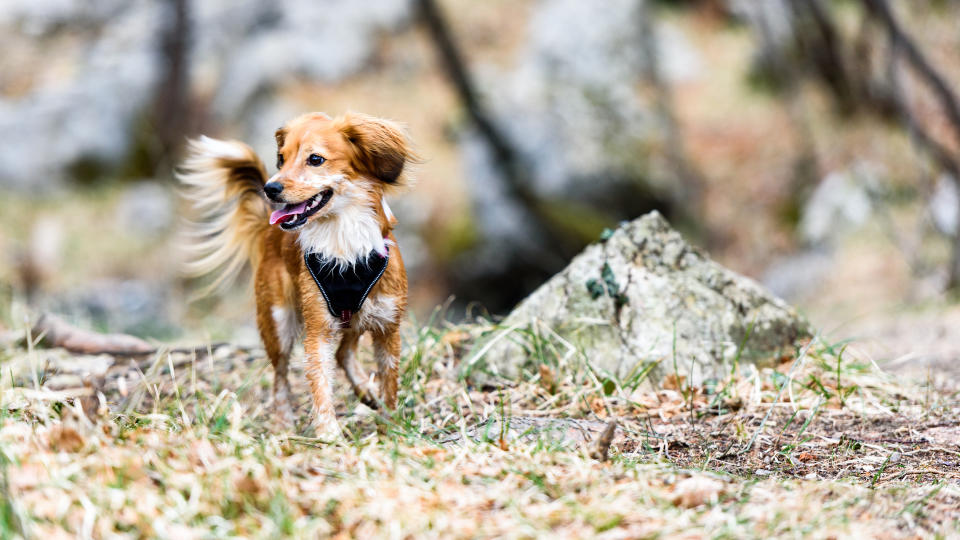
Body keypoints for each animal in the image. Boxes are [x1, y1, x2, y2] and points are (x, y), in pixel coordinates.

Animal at [179, 112, 416, 436]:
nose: (271, 188)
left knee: (344, 352)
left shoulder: (387, 327)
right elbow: (320, 383)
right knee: (280, 375)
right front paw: (329, 434)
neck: (343, 244)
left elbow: (389, 381)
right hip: (278, 321)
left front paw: (390, 426)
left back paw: (365, 391)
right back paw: (283, 421)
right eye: (281, 158)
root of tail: (270, 232)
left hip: (356, 318)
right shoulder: (318, 329)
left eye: (315, 159)